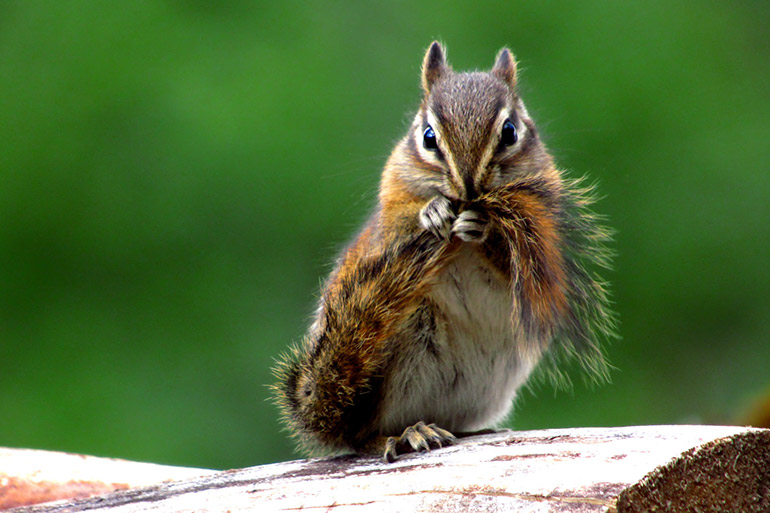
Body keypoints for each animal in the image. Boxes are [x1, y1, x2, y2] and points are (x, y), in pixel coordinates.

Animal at [272, 42, 616, 462]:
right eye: (428, 136)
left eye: (510, 131)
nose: (468, 186)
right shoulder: (387, 220)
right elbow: (401, 223)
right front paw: (432, 211)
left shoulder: (543, 234)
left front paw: (482, 228)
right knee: (363, 437)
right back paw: (406, 434)